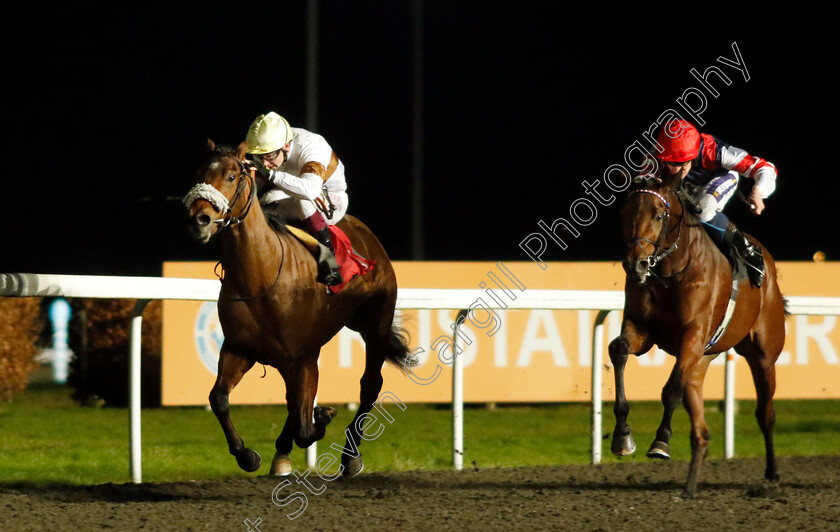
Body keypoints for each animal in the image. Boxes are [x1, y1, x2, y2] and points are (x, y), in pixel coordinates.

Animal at [184, 140, 414, 478]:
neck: (260, 277)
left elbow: (306, 425)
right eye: (199, 173)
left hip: (375, 326)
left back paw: (350, 455)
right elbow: (220, 398)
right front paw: (248, 455)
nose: (198, 219)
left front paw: (323, 417)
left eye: (231, 176)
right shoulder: (241, 348)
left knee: (370, 385)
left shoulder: (302, 356)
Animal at [612, 175, 788, 498]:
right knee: (701, 432)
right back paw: (689, 488)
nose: (635, 264)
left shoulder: (691, 338)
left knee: (765, 414)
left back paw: (772, 473)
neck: (671, 272)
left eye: (659, 214)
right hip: (703, 361)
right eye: (624, 214)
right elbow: (618, 350)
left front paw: (661, 441)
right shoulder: (641, 330)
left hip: (763, 355)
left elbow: (670, 389)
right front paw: (622, 437)